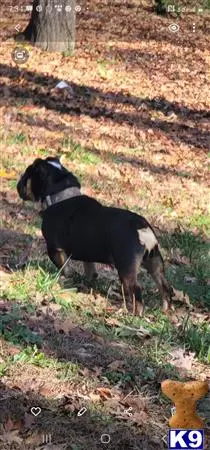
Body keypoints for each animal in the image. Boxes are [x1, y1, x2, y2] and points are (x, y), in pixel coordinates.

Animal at [16, 156, 174, 314]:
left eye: (27, 175)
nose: (18, 183)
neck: (60, 194)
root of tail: (141, 228)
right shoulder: (87, 255)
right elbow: (90, 271)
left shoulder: (54, 249)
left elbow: (64, 267)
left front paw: (64, 278)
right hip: (154, 262)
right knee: (165, 287)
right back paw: (165, 310)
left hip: (127, 268)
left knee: (136, 291)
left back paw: (134, 313)